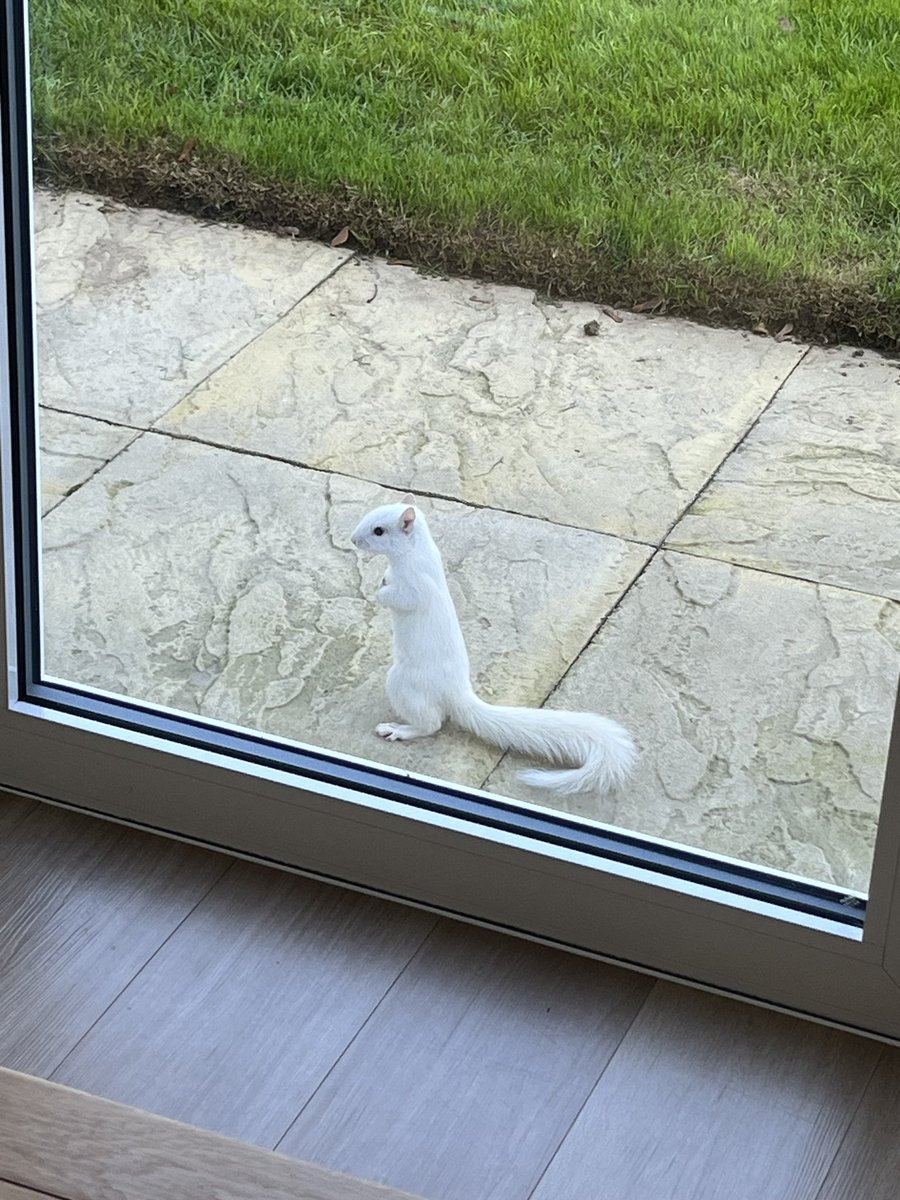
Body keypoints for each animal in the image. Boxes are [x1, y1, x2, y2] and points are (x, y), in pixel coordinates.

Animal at [351, 497, 636, 796]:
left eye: (379, 531)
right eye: (369, 515)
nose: (353, 540)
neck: (414, 553)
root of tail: (457, 692)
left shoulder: (418, 585)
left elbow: (402, 598)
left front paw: (380, 593)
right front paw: (382, 579)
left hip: (403, 683)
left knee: (431, 723)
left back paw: (397, 730)